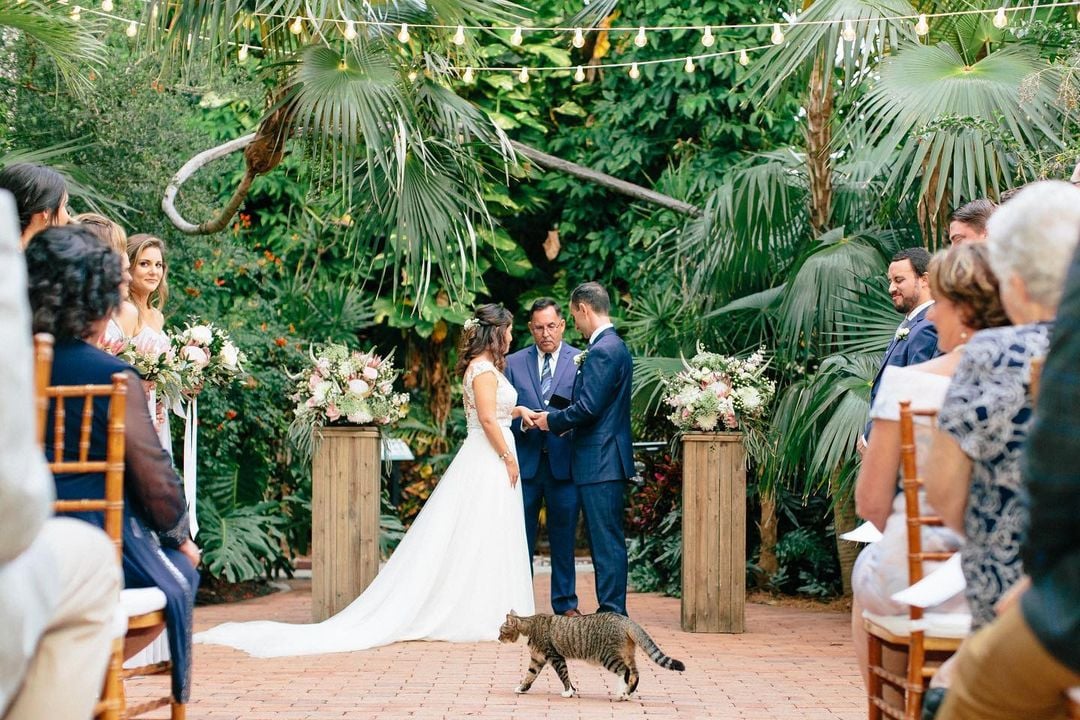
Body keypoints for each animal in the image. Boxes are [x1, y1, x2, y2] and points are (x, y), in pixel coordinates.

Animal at [494, 613, 682, 699]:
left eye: (501, 631)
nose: (497, 638)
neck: (529, 627)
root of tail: (624, 618)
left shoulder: (555, 657)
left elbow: (564, 675)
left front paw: (568, 692)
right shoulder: (537, 660)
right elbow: (529, 676)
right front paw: (522, 688)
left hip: (608, 657)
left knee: (625, 671)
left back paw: (621, 693)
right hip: (627, 654)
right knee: (635, 674)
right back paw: (627, 693)